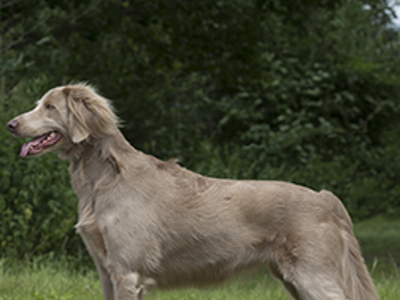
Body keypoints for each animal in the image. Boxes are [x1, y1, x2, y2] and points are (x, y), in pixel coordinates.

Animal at [7, 84, 380, 300]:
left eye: (49, 107)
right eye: (39, 104)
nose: (10, 124)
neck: (101, 179)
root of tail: (325, 197)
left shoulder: (127, 272)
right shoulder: (106, 271)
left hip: (314, 276)